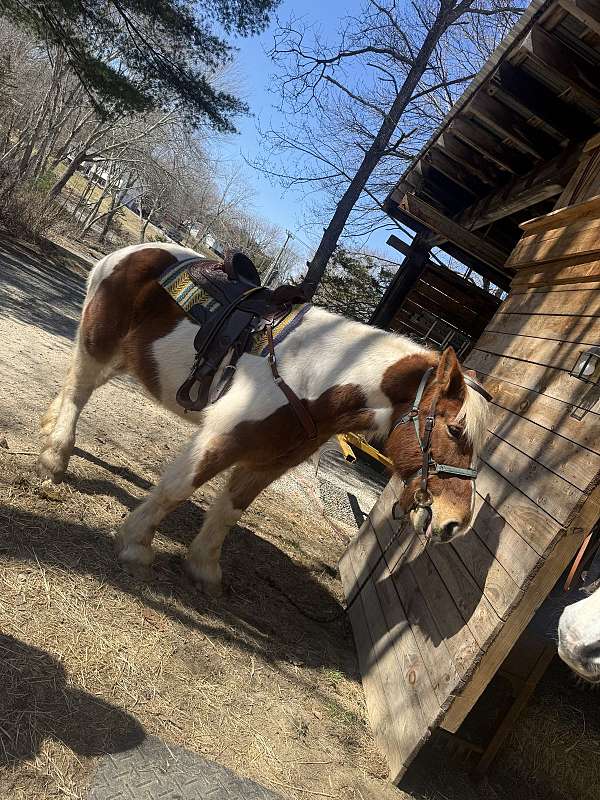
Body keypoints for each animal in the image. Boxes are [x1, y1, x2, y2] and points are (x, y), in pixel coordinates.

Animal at [38, 242, 491, 596]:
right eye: (454, 429)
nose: (456, 524)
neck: (316, 375)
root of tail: (127, 253)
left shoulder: (270, 460)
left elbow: (231, 510)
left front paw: (204, 570)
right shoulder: (222, 437)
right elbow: (177, 489)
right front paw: (135, 546)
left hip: (122, 358)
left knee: (71, 386)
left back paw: (46, 433)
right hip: (98, 345)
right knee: (78, 392)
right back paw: (54, 458)